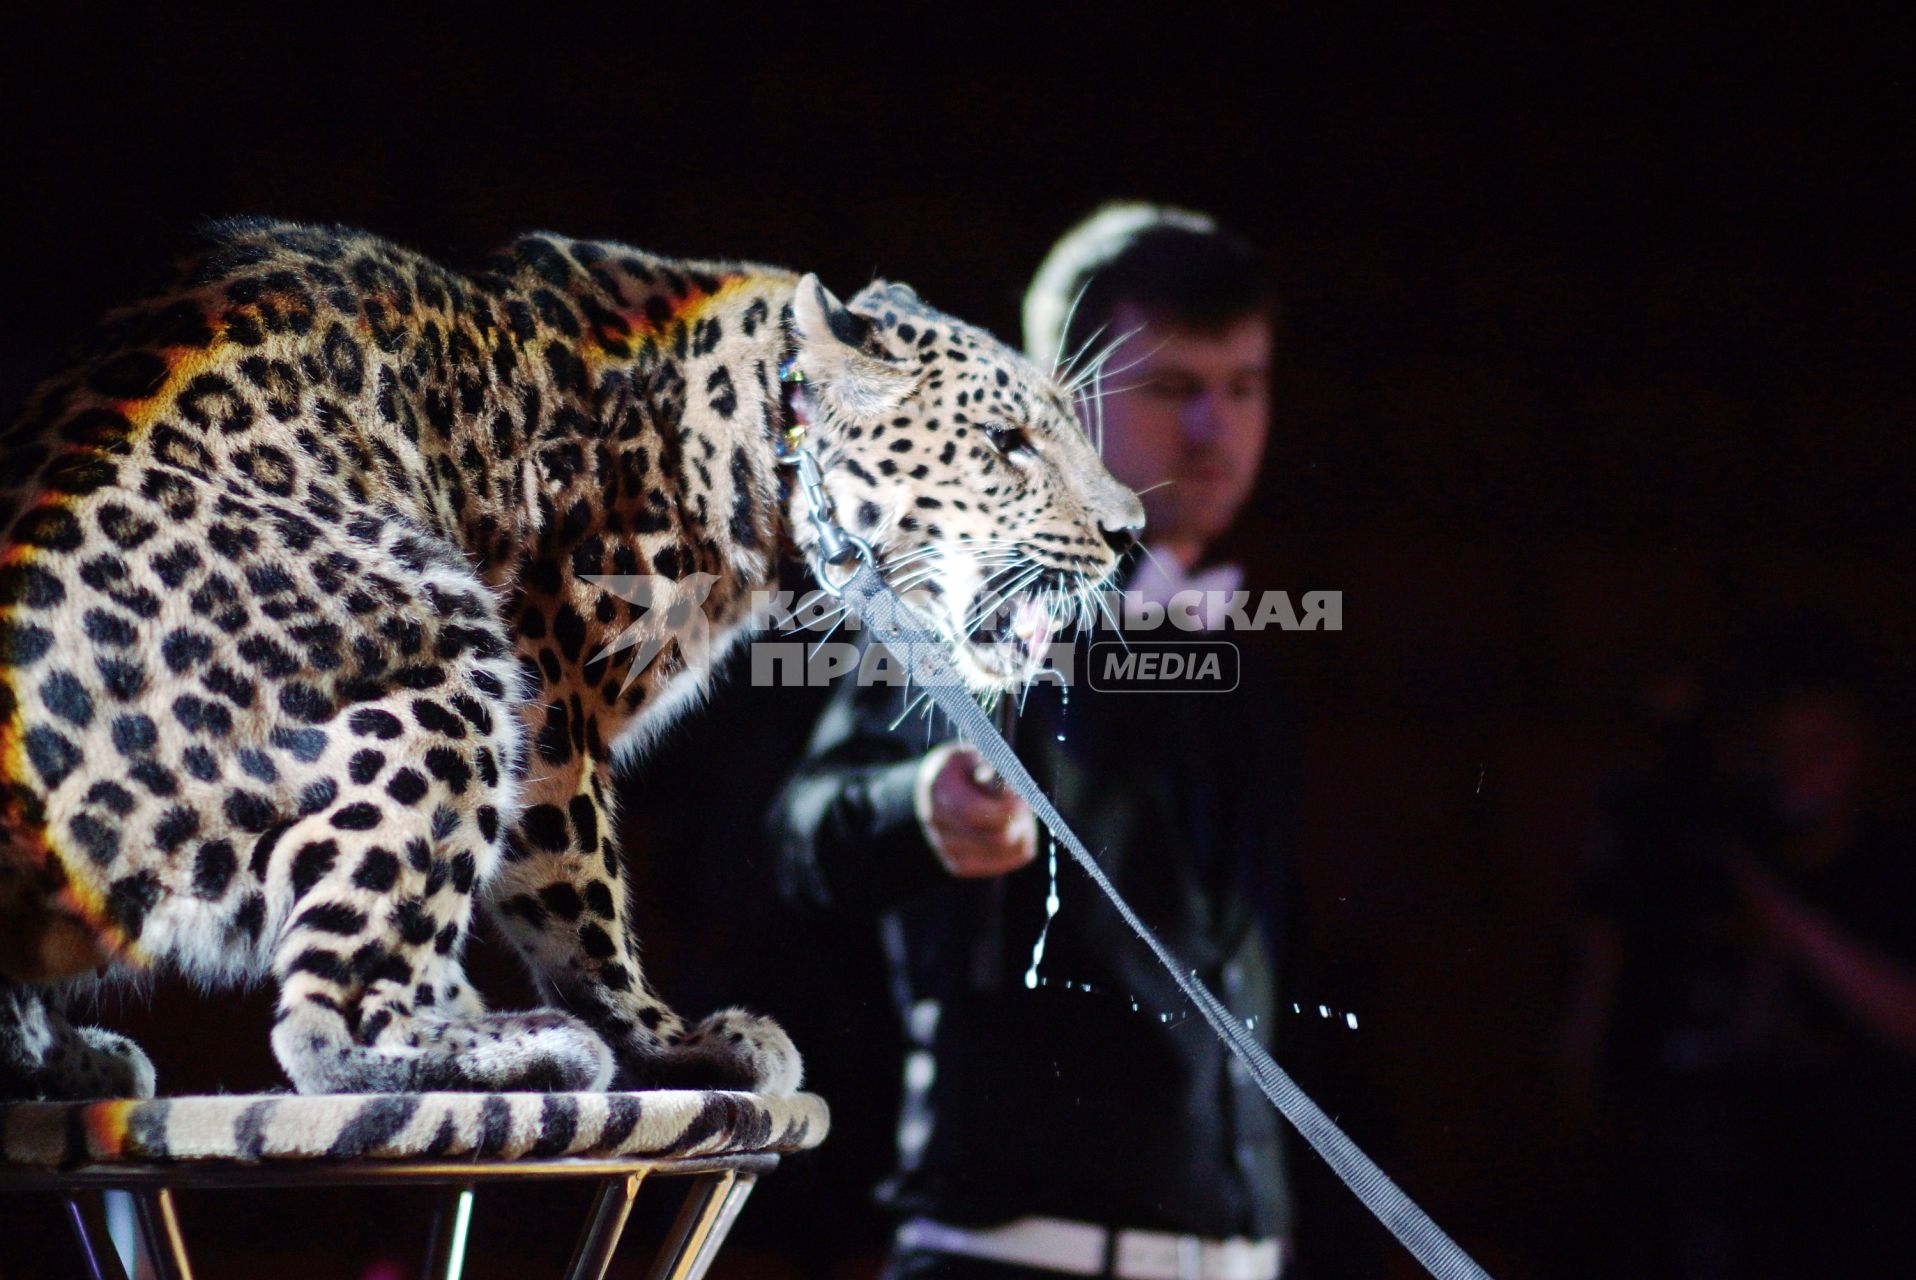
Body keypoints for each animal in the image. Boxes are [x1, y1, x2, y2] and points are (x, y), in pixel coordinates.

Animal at [0, 220, 1134, 1103]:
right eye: (1008, 443)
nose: (1130, 531)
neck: (742, 440)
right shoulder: (549, 703)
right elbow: (581, 902)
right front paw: (674, 1041)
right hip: (447, 644)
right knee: (327, 1018)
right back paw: (519, 1051)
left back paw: (68, 1061)